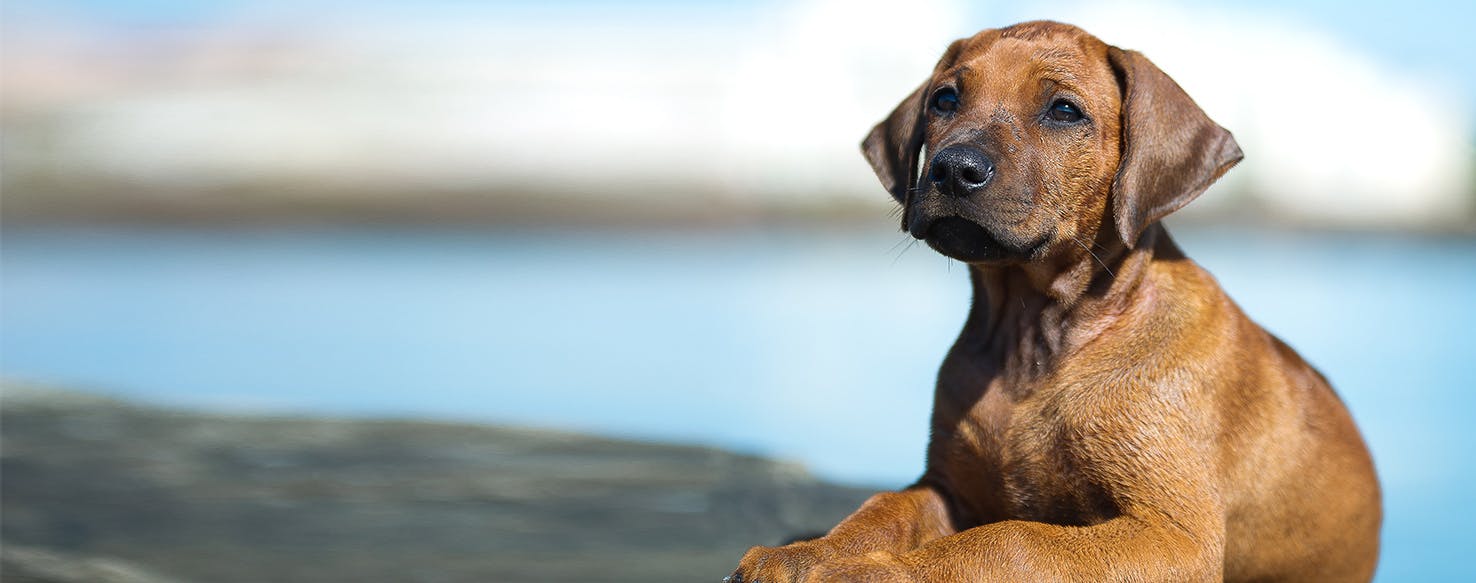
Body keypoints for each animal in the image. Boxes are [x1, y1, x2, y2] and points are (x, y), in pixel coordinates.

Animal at [726, 20, 1381, 581]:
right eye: (944, 100)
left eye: (1064, 110)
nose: (953, 168)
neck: (1035, 343)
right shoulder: (950, 488)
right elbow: (884, 507)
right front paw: (809, 555)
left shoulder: (1176, 537)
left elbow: (1011, 541)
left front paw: (874, 573)